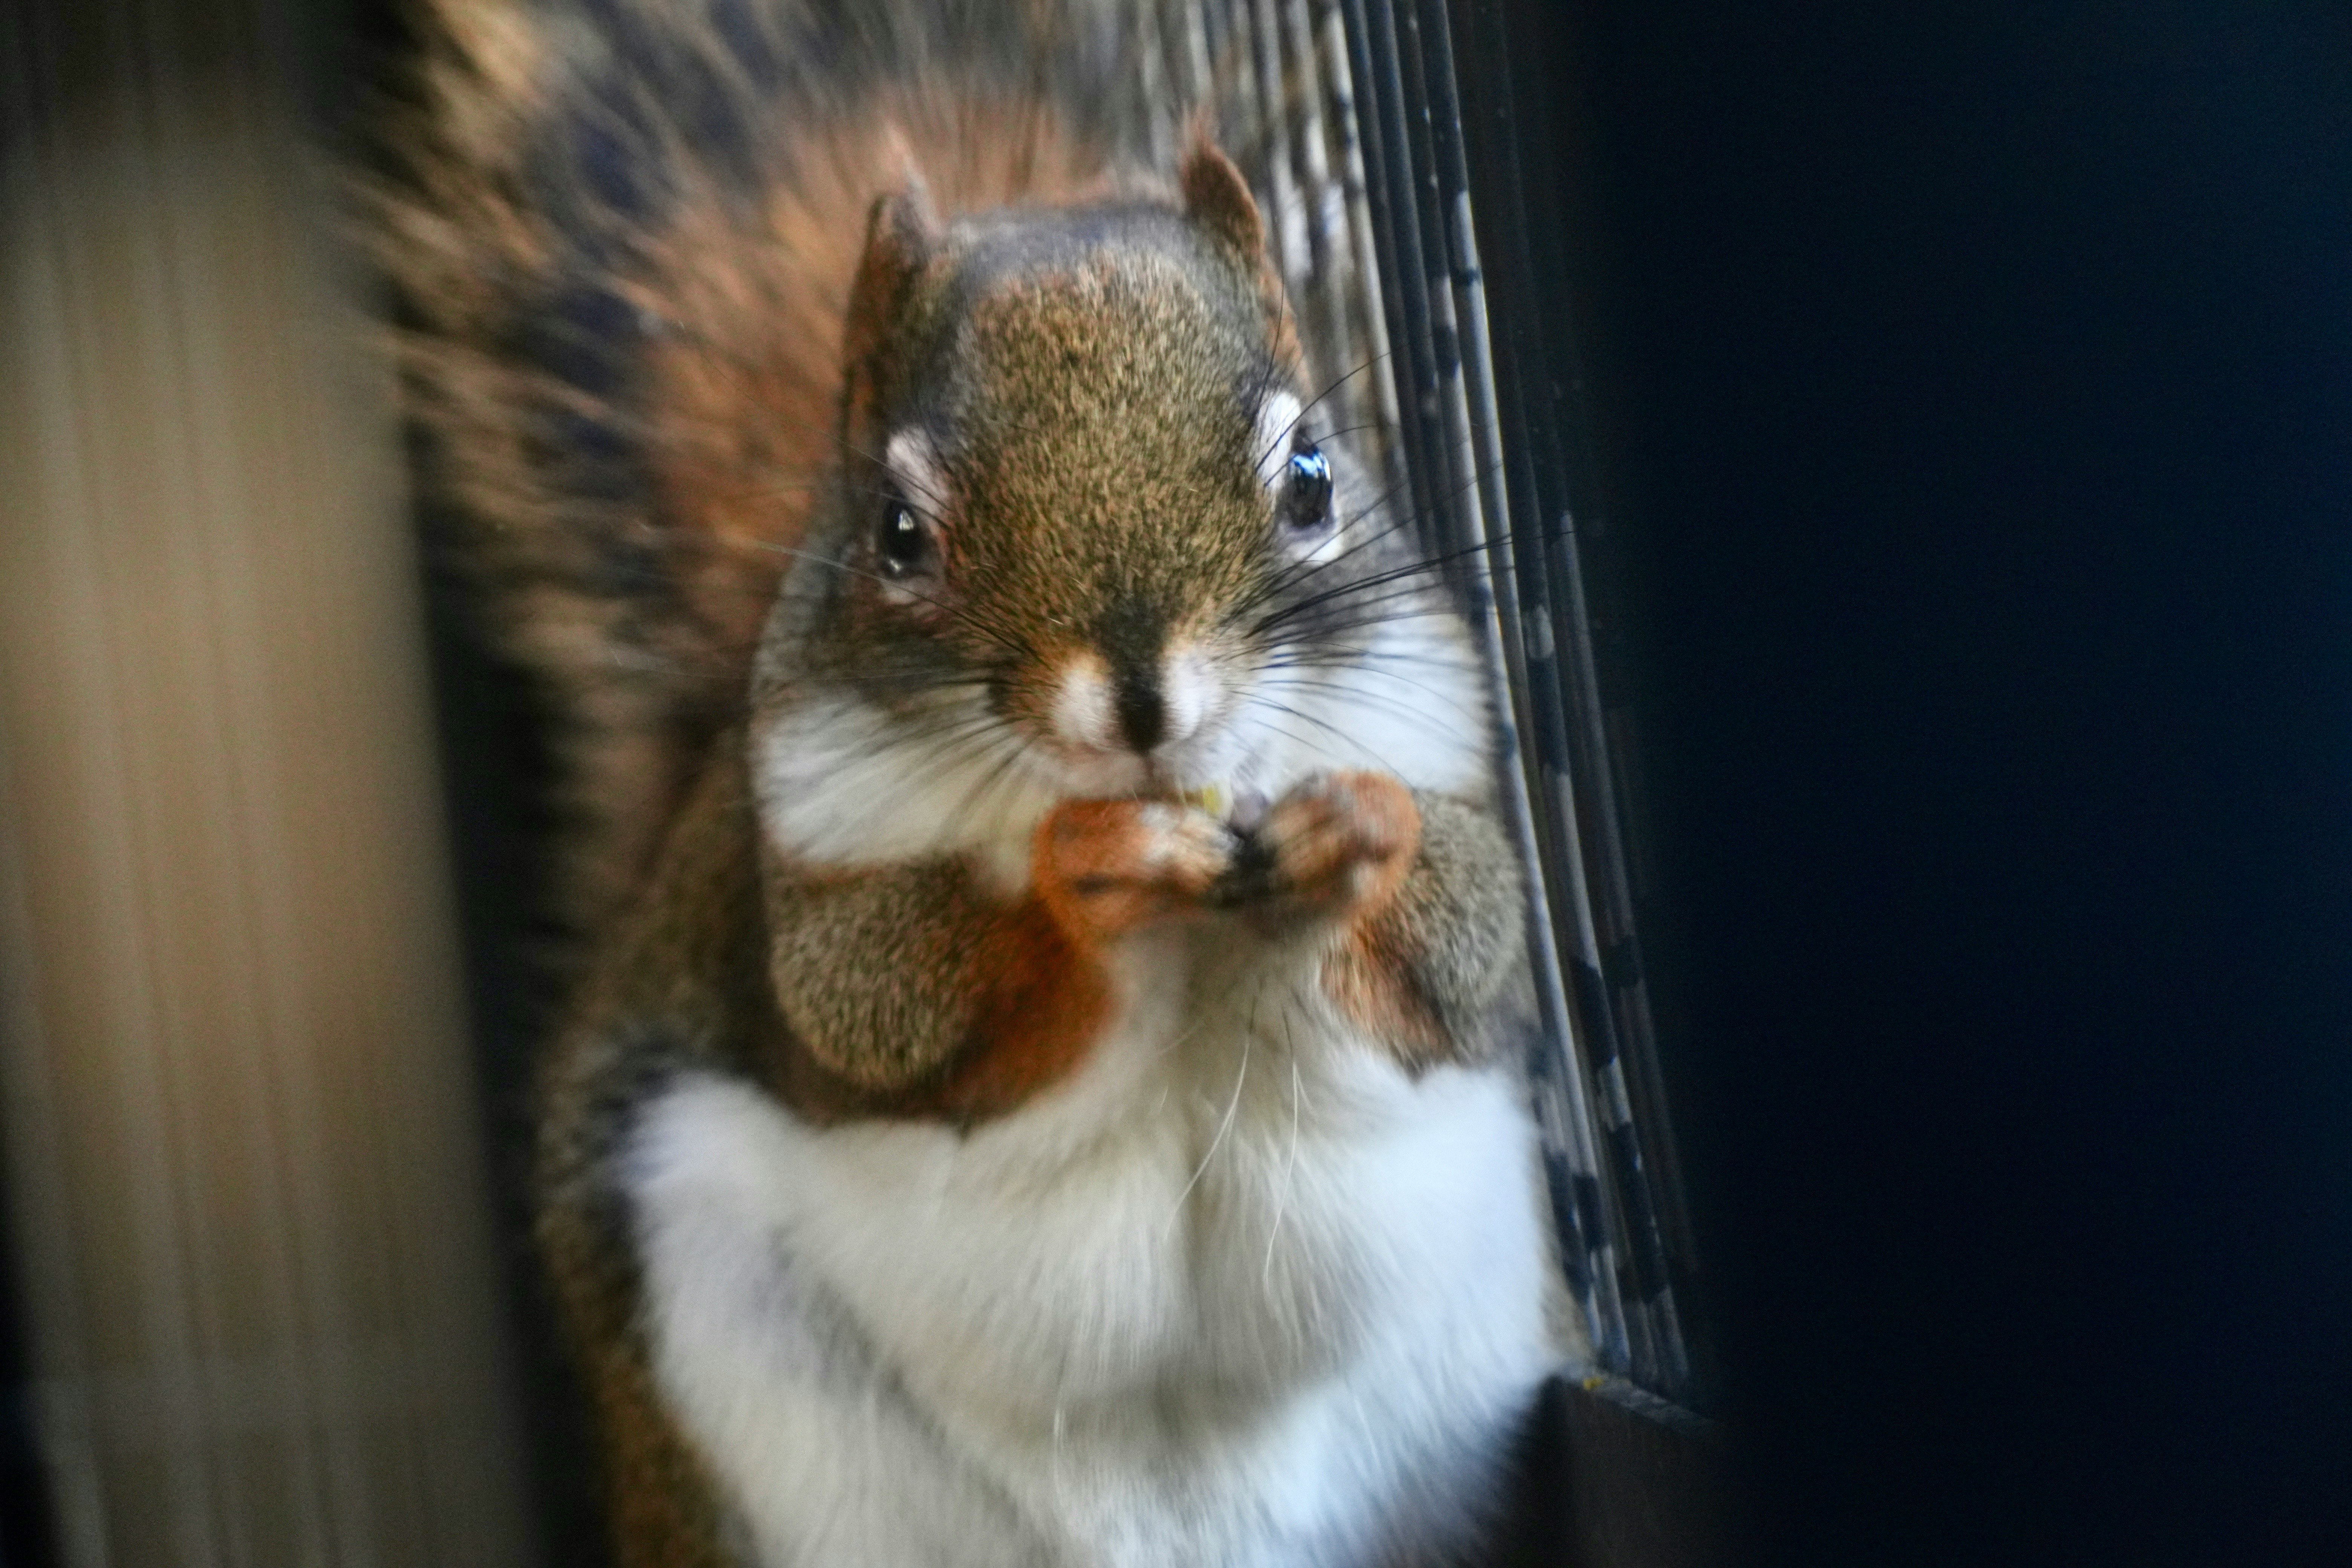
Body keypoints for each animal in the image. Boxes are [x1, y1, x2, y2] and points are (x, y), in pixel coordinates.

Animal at [373, 1, 1564, 1562]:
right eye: (897, 533)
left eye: (1312, 476)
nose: (1144, 707)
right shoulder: (806, 862)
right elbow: (883, 1002)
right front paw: (1084, 875)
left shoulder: (1437, 743)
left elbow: (1471, 935)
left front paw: (1357, 832)